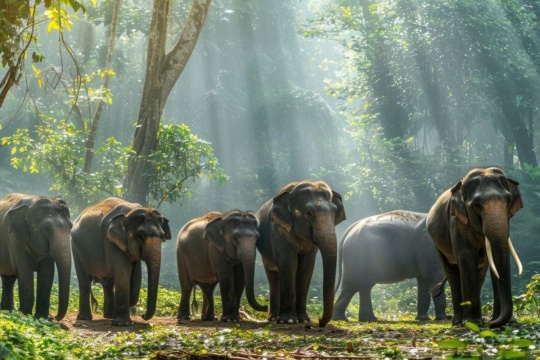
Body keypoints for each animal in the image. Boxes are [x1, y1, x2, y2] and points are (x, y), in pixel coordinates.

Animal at [70, 197, 170, 326]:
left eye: (163, 237)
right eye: (140, 236)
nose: (143, 315)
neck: (129, 213)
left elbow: (136, 277)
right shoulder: (110, 241)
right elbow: (123, 272)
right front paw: (122, 324)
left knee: (108, 282)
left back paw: (108, 315)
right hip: (75, 247)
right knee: (84, 280)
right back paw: (84, 318)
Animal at [254, 180, 346, 326]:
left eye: (334, 212)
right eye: (308, 213)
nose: (320, 321)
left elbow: (306, 266)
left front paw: (303, 319)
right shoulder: (278, 229)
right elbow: (289, 262)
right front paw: (288, 321)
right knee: (273, 277)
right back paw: (274, 318)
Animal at [426, 167, 524, 330]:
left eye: (507, 201)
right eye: (477, 205)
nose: (491, 324)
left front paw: (506, 321)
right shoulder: (457, 222)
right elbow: (467, 258)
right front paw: (473, 322)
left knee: (480, 273)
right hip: (437, 244)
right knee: (453, 274)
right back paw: (458, 321)